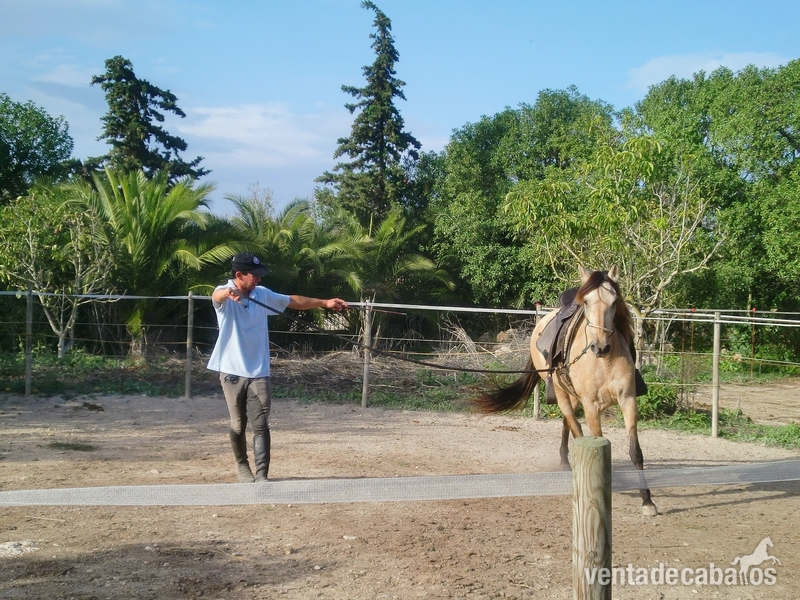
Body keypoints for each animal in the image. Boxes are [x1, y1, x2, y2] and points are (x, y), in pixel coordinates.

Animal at [475, 265, 658, 516]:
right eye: (587, 302)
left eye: (614, 302)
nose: (600, 346)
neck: (604, 361)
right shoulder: (591, 406)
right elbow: (598, 443)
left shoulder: (628, 400)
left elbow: (635, 451)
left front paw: (647, 500)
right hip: (562, 394)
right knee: (574, 425)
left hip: (572, 394)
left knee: (567, 422)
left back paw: (564, 460)